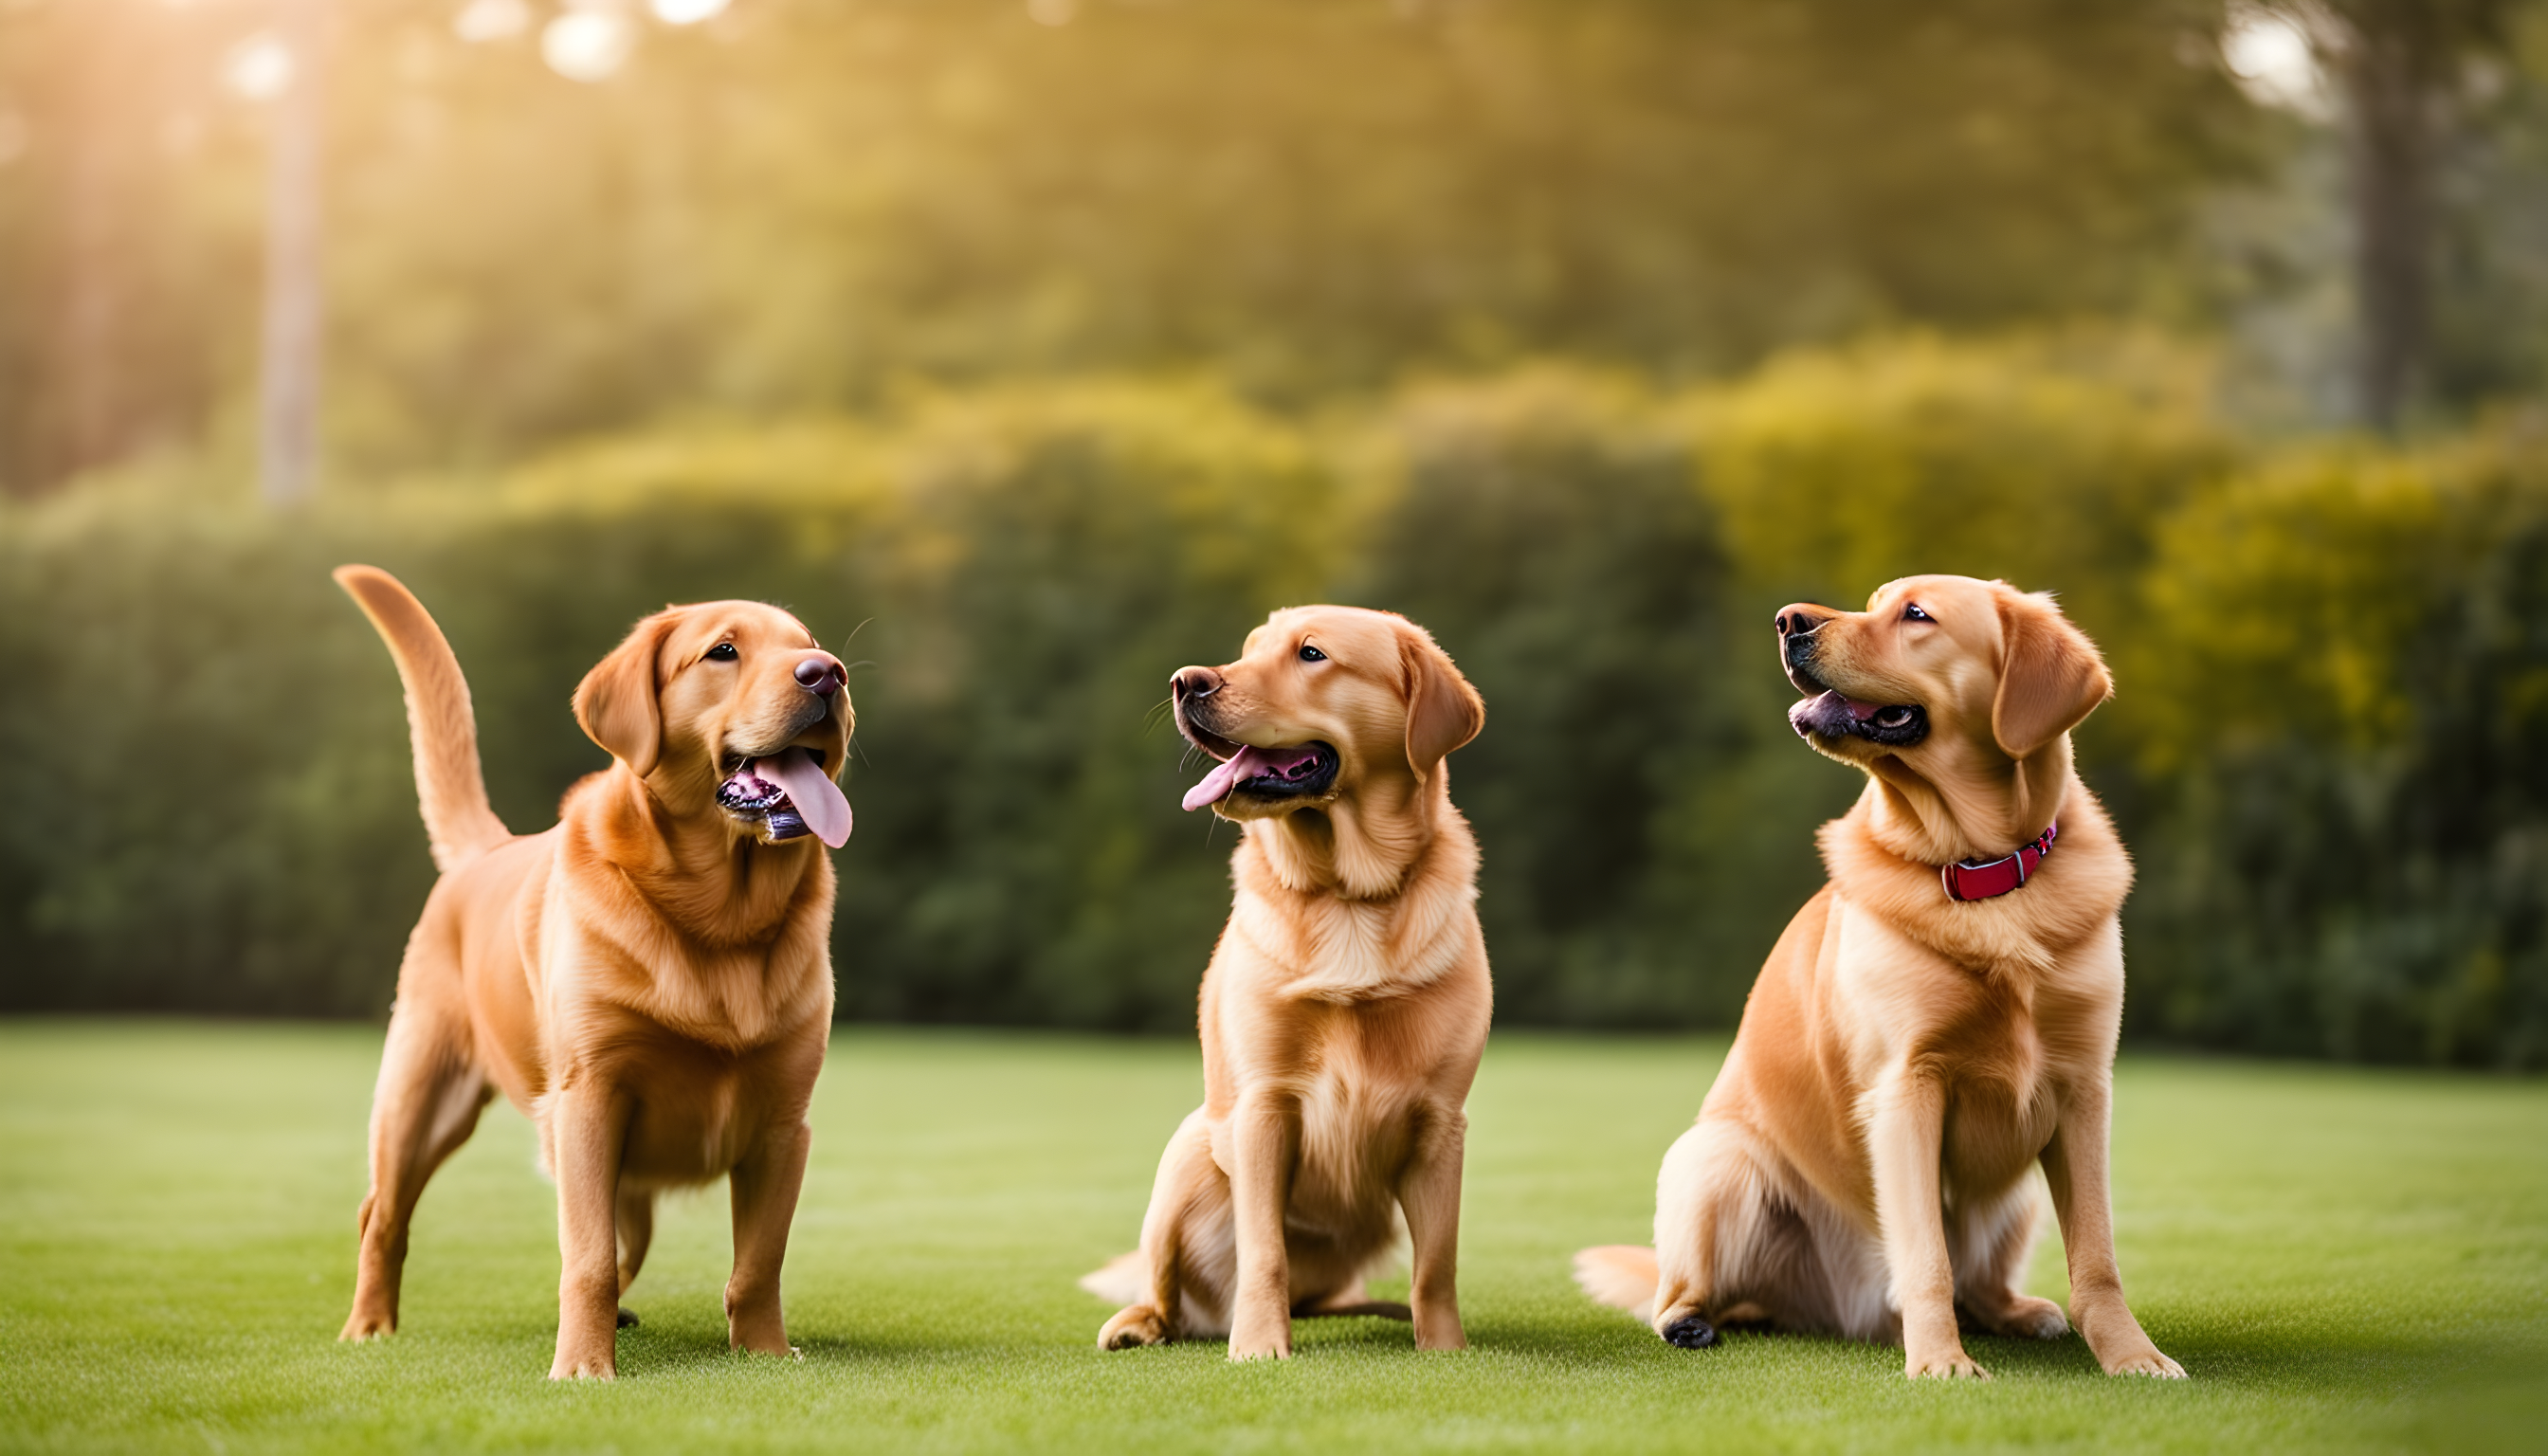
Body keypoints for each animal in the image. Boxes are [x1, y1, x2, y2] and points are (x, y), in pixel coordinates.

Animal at [323, 566, 846, 1376]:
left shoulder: (783, 1124)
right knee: (381, 1213)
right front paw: (581, 1369)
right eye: (724, 651)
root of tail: (486, 850)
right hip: (423, 1096)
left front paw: (763, 1353)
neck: (720, 916)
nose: (829, 674)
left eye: (808, 644)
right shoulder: (592, 1098)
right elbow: (587, 1257)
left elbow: (758, 1263)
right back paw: (370, 1325)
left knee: (628, 1245)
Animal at [1080, 604, 1487, 1356]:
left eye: (1311, 654)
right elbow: (1264, 1250)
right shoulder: (1265, 1108)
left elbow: (1436, 1265)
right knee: (1164, 1286)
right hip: (1187, 1157)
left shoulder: (1442, 1125)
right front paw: (1260, 1349)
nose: (1185, 681)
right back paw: (1142, 1323)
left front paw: (1444, 1349)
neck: (1349, 896)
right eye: (1247, 651)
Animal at [1559, 573, 2180, 1376]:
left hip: (2018, 1195)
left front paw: (2133, 1356)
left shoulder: (2081, 1092)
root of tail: (1846, 1317)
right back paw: (1697, 1323)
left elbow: (2097, 1259)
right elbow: (1927, 1256)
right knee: (1690, 1293)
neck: (1982, 875)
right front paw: (1941, 1363)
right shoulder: (1906, 1087)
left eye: (1916, 614)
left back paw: (2016, 1313)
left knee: (1980, 1284)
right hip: (1718, 1160)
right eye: (1877, 599)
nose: (1788, 621)